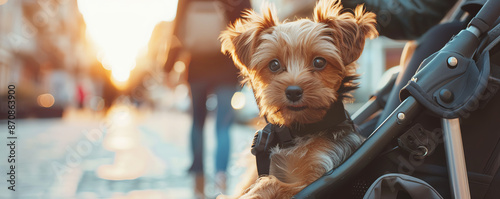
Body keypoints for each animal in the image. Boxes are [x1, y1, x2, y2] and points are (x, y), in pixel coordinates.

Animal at [218, 0, 376, 197]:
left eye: (319, 62)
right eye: (274, 65)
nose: (293, 92)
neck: (298, 131)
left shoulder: (318, 179)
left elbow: (274, 183)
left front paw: (254, 193)